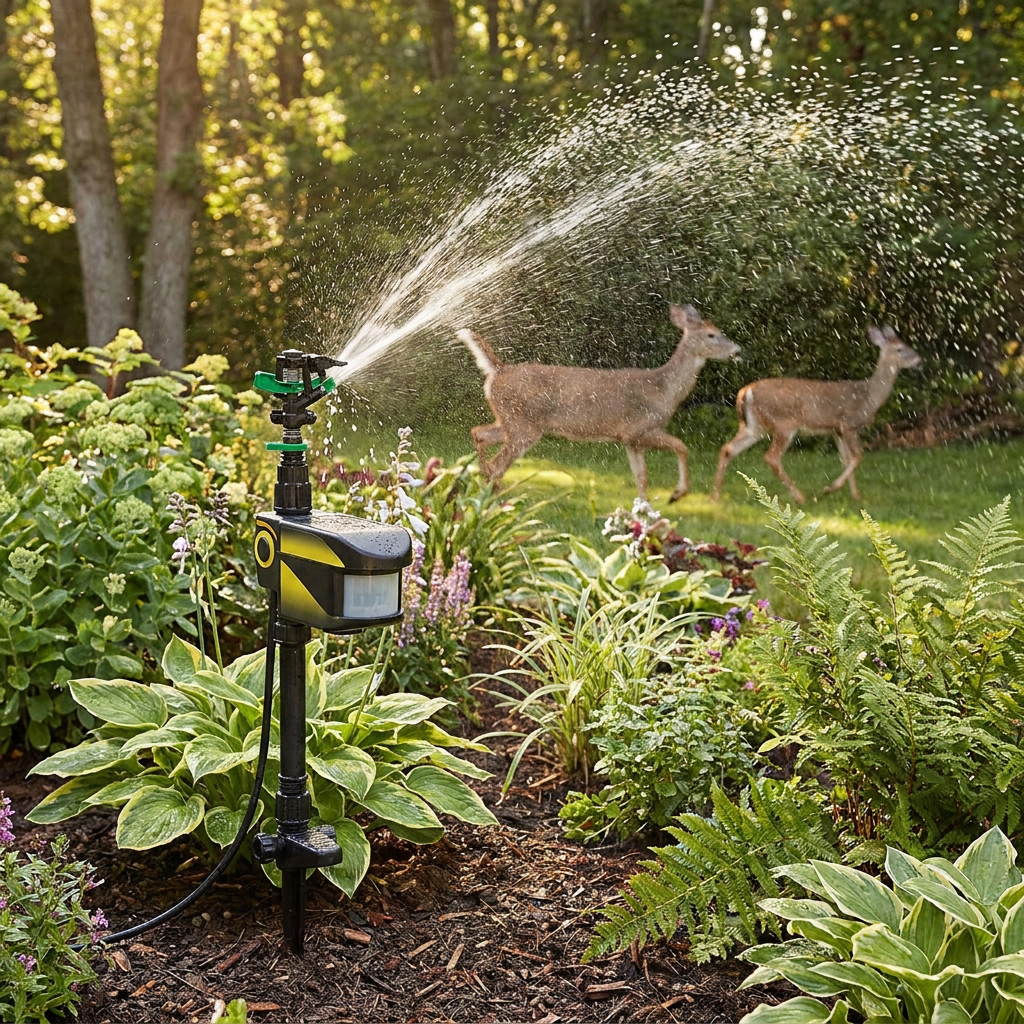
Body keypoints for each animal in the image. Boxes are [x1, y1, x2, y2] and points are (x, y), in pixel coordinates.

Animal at [457, 303, 740, 502]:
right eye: (712, 335)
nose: (737, 350)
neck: (664, 389)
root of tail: (498, 371)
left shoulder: (630, 440)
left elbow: (641, 477)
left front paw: (645, 514)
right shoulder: (639, 428)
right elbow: (682, 447)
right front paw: (677, 494)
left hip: (511, 420)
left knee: (479, 433)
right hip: (523, 425)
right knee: (497, 462)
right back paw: (493, 501)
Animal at [711, 325, 922, 504]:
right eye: (900, 349)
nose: (920, 361)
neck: (869, 396)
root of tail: (746, 391)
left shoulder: (836, 430)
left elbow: (847, 459)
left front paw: (855, 496)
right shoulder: (848, 423)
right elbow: (857, 457)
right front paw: (830, 488)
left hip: (754, 426)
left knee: (728, 448)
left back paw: (716, 494)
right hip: (784, 422)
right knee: (771, 457)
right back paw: (800, 497)